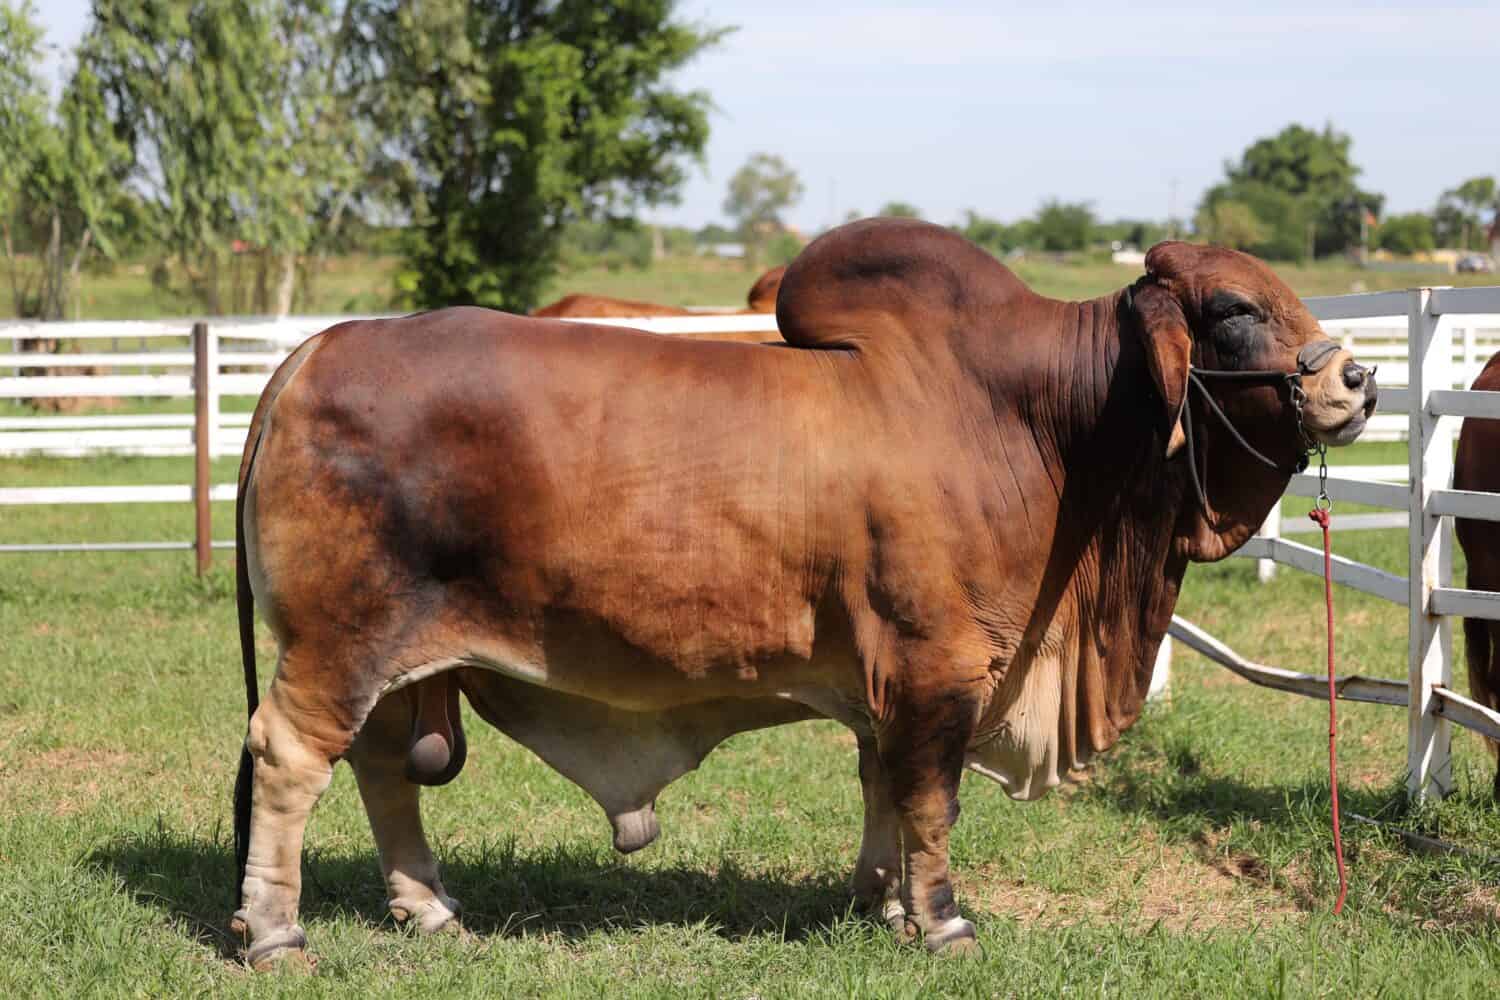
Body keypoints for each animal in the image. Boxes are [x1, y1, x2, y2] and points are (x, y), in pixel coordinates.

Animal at [229, 219, 1377, 969]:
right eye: (1235, 310)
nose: (1356, 380)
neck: (1041, 422)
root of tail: (310, 353)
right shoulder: (941, 665)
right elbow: (931, 798)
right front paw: (943, 921)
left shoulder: (891, 678)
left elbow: (882, 785)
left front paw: (882, 904)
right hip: (339, 642)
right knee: (289, 758)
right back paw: (277, 933)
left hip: (390, 661)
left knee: (383, 770)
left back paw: (430, 909)